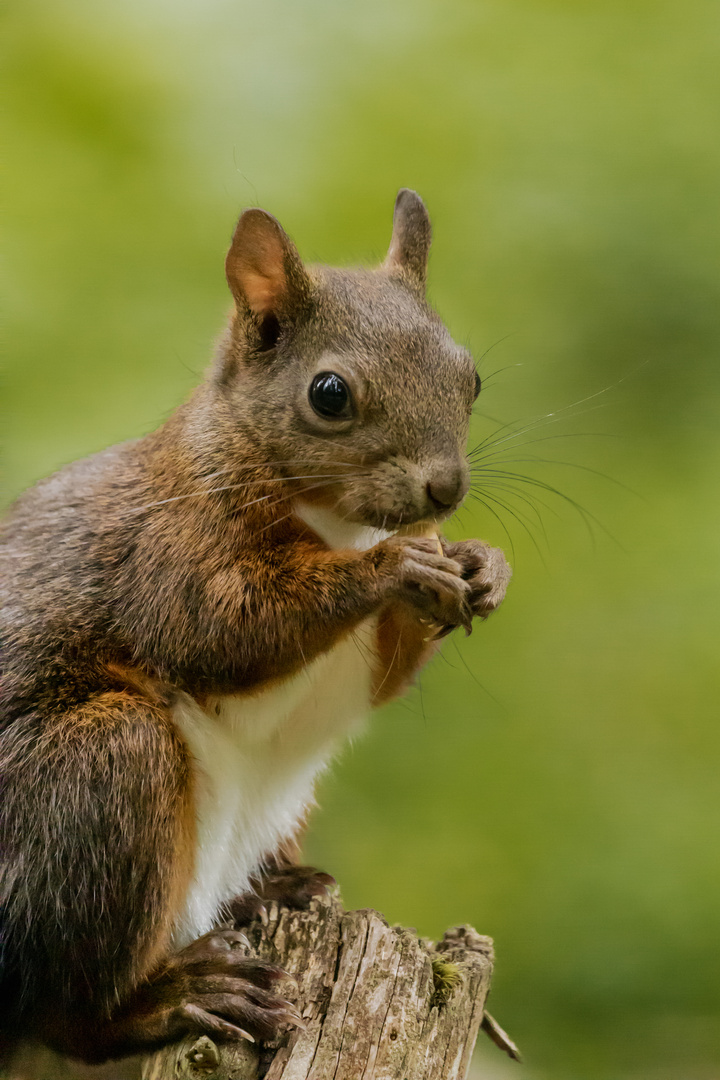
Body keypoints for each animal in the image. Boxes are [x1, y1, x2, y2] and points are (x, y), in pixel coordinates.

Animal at [0, 187, 511, 1062]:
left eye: (470, 377)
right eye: (330, 393)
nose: (445, 490)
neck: (337, 523)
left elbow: (377, 675)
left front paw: (480, 566)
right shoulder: (171, 549)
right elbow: (223, 632)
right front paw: (399, 567)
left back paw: (280, 886)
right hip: (91, 782)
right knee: (61, 1011)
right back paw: (175, 996)